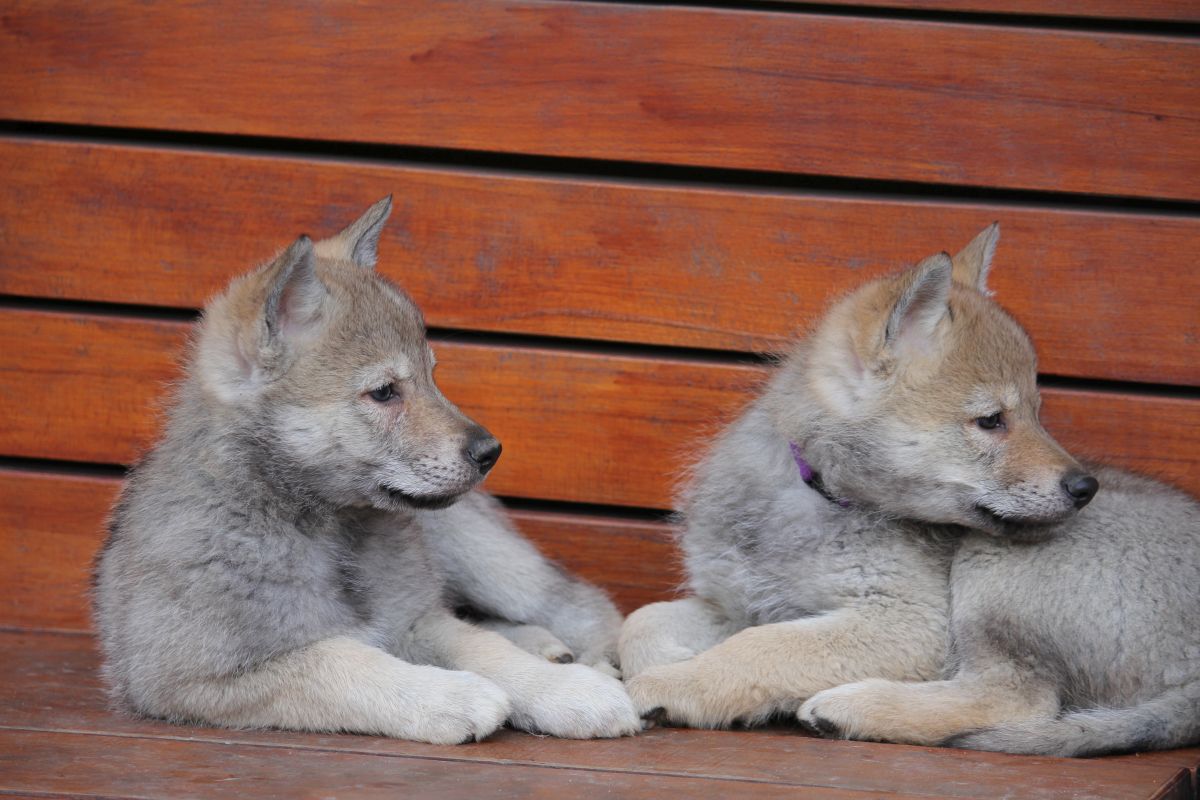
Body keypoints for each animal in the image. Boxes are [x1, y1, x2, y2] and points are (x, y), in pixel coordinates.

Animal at [94, 195, 643, 743]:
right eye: (383, 392)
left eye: (432, 376)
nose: (490, 451)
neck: (320, 530)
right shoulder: (190, 673)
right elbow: (341, 658)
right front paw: (454, 696)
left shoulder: (415, 617)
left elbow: (485, 648)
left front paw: (569, 692)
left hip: (484, 557)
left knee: (578, 600)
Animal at [624, 225, 1195, 758]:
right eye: (992, 420)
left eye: (1035, 412)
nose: (1085, 487)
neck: (815, 493)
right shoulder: (737, 601)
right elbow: (643, 623)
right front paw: (678, 662)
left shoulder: (907, 621)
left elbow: (758, 647)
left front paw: (681, 683)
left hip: (994, 572)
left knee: (1018, 700)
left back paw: (852, 708)